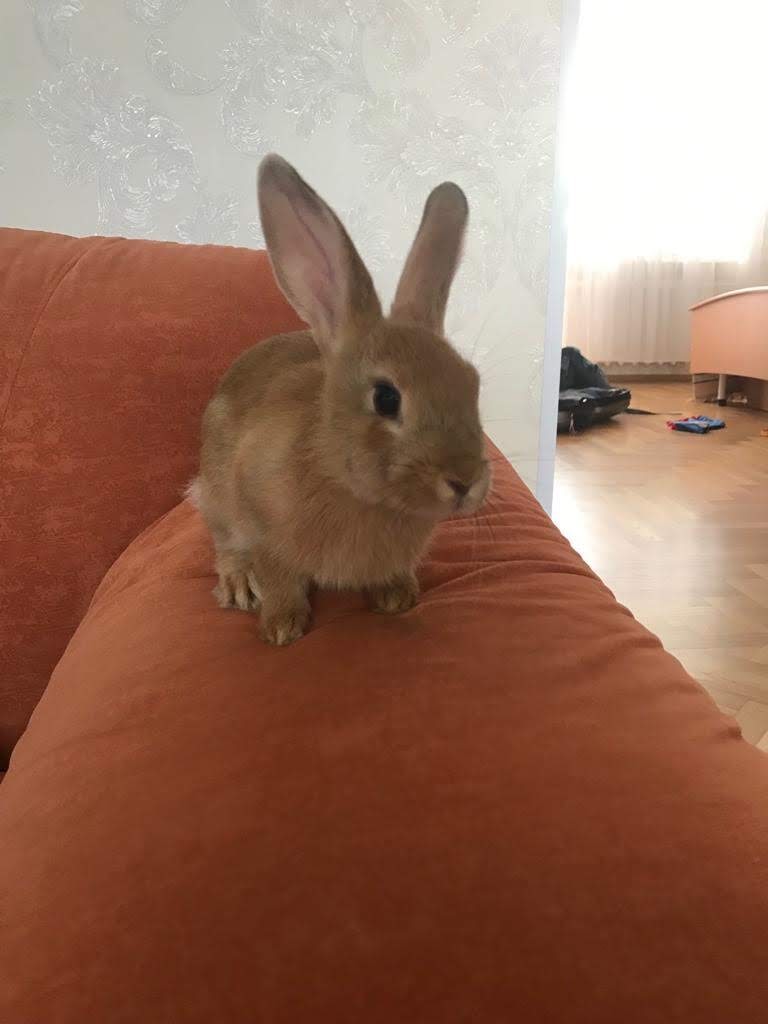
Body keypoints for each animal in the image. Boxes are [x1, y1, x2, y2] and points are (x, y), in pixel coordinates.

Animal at [192, 154, 490, 645]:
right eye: (386, 398)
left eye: (473, 383)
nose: (465, 481)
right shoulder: (262, 526)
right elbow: (278, 575)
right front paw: (282, 627)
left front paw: (397, 597)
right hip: (216, 497)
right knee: (224, 542)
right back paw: (239, 586)